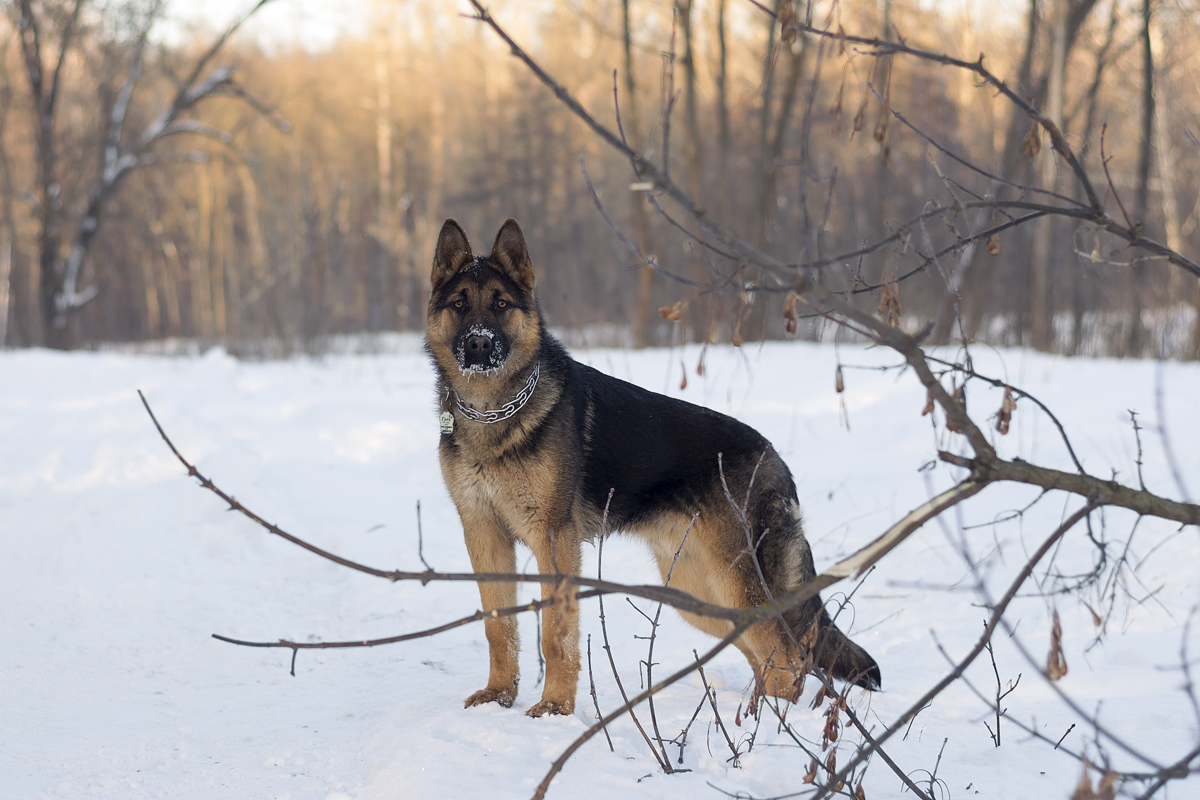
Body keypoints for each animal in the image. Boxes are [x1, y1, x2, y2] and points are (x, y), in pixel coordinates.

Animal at [427, 220, 878, 719]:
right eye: (459, 304)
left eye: (501, 305)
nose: (479, 343)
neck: (493, 412)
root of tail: (774, 458)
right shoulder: (484, 535)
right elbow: (498, 628)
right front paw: (499, 697)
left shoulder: (554, 543)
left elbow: (557, 635)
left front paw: (556, 709)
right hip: (699, 593)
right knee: (768, 655)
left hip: (734, 586)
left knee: (790, 659)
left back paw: (769, 726)